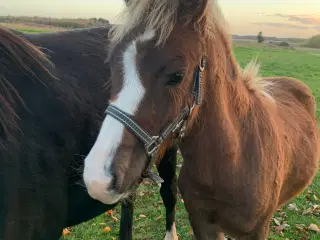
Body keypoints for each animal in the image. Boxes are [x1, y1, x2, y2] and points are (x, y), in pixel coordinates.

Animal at [83, 0, 320, 240]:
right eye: (112, 64)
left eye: (177, 75)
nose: (99, 179)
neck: (234, 161)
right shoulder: (202, 224)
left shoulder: (256, 230)